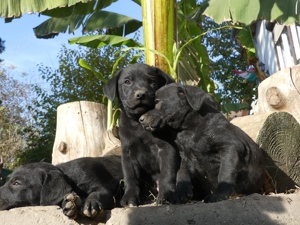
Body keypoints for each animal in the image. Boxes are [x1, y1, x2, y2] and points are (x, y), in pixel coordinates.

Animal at [103, 62, 180, 206]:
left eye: (152, 81)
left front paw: (166, 195)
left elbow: (167, 172)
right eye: (127, 82)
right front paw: (129, 198)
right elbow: (130, 177)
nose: (141, 94)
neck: (139, 122)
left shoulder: (166, 148)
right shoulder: (128, 154)